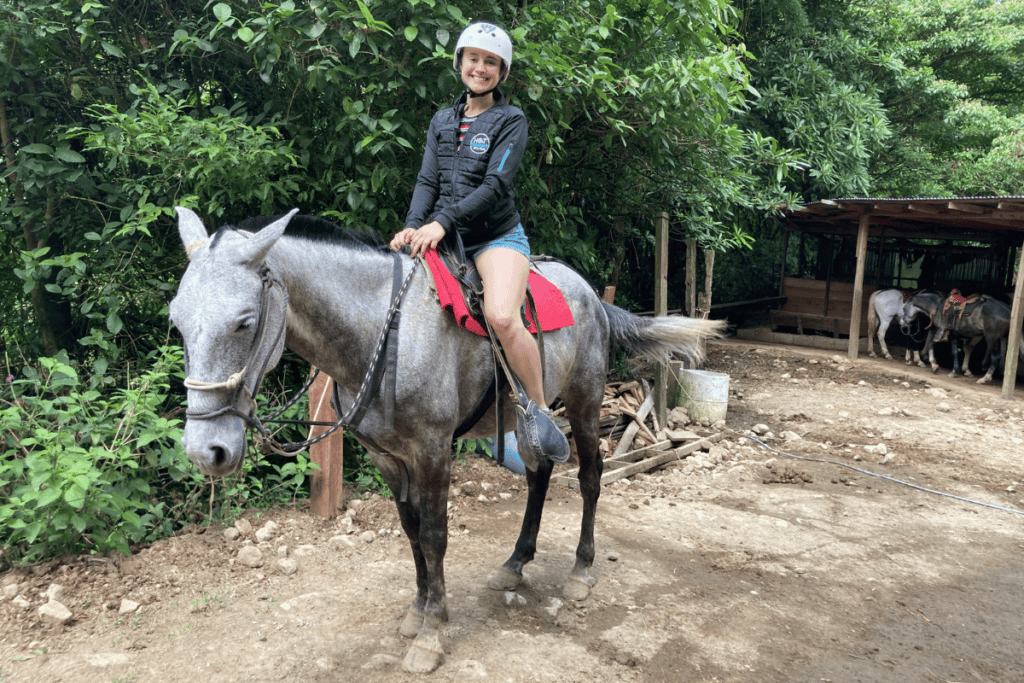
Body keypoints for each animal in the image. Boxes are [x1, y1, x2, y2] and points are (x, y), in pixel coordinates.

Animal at [169, 208, 720, 671]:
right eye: (176, 320)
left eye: (244, 322)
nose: (206, 451)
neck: (382, 333)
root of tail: (589, 293)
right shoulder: (387, 457)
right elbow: (412, 530)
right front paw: (418, 611)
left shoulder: (433, 451)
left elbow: (435, 536)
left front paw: (432, 634)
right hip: (526, 419)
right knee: (539, 474)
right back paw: (515, 563)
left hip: (584, 404)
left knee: (589, 477)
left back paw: (581, 572)